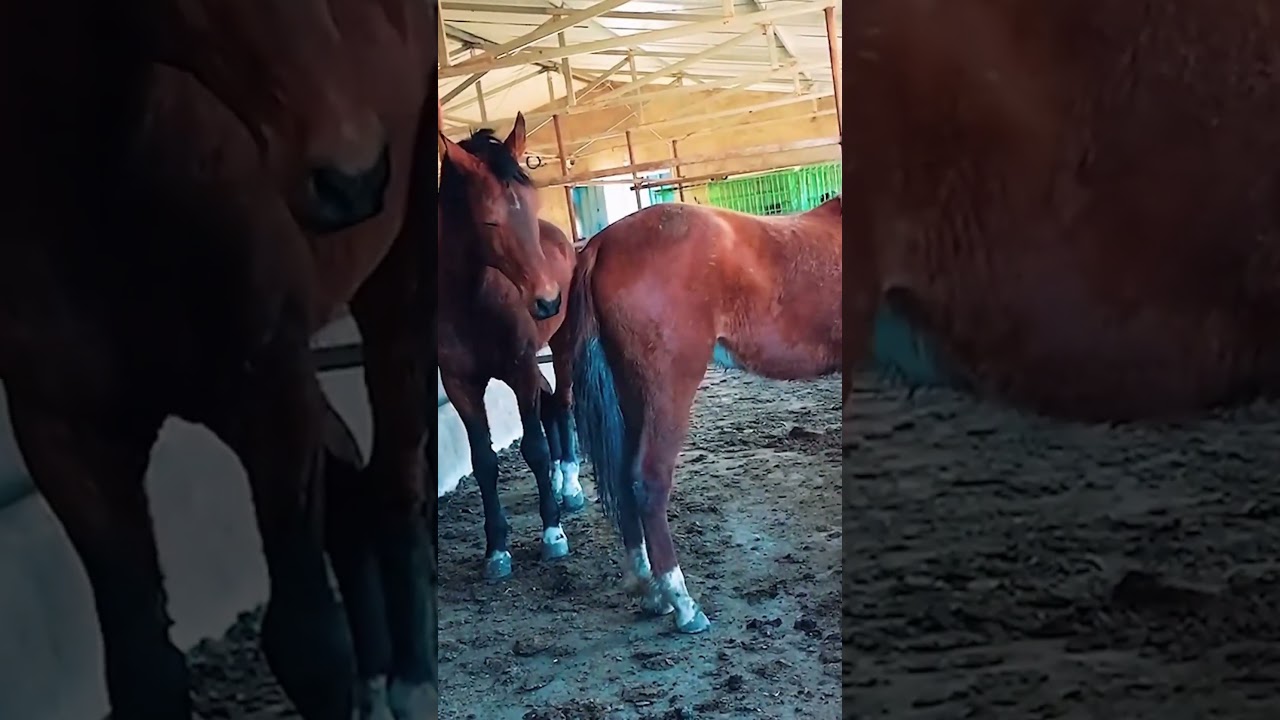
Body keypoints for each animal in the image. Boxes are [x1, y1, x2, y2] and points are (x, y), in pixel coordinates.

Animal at [1, 1, 437, 718]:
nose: (351, 177)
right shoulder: (66, 436)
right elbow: (145, 671)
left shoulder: (270, 392)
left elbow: (309, 645)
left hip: (398, 283)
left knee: (398, 482)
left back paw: (413, 680)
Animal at [437, 115, 584, 581]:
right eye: (489, 221)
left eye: (532, 205)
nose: (547, 300)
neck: (470, 301)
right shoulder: (460, 384)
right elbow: (484, 461)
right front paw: (496, 550)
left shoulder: (519, 369)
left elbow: (533, 448)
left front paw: (552, 533)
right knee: (552, 403)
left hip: (563, 346)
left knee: (564, 403)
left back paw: (569, 485)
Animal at [564, 198, 842, 634]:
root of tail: (600, 245)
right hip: (669, 390)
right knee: (648, 481)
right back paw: (683, 605)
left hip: (634, 395)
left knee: (625, 478)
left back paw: (650, 590)